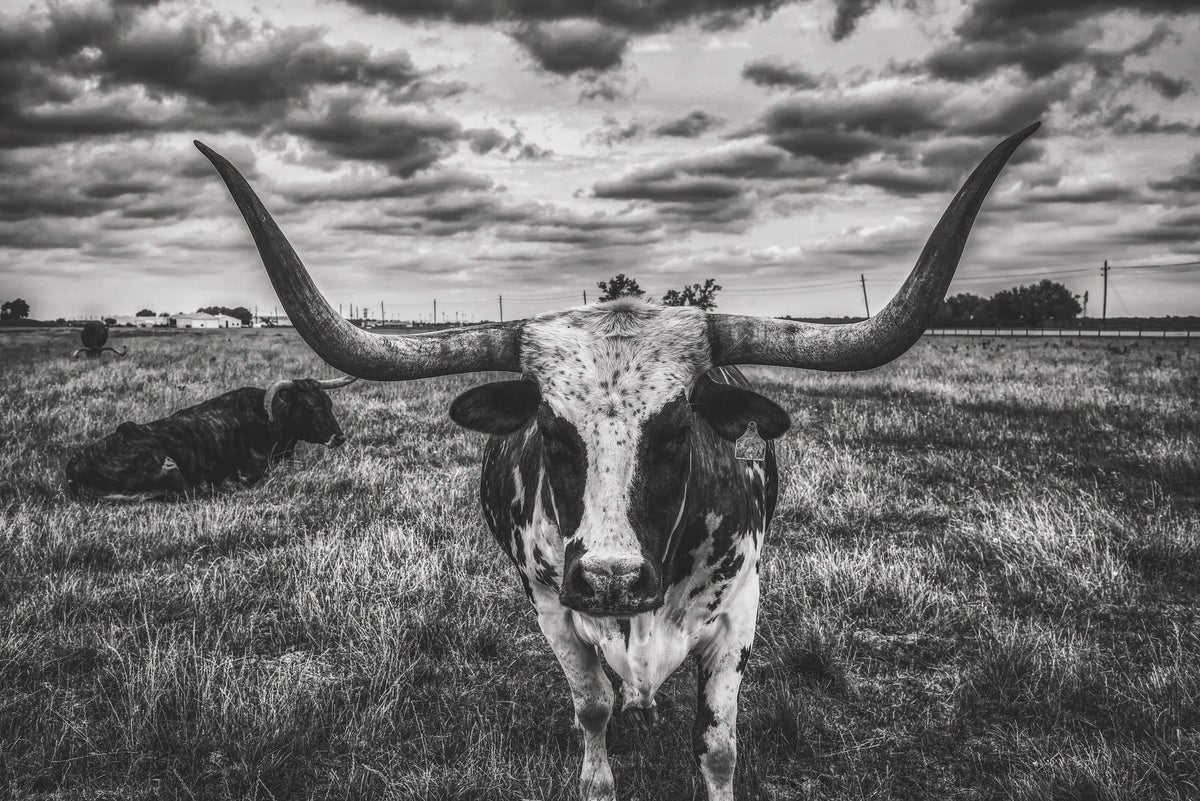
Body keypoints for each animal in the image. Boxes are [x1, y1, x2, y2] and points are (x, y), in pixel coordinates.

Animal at [65, 376, 356, 501]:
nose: (339, 437)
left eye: (327, 402)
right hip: (170, 468)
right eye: (307, 406)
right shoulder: (251, 471)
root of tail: (75, 463)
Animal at [195, 121, 1038, 800]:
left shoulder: (741, 609)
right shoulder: (549, 602)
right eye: (552, 432)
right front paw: (598, 773)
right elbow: (591, 705)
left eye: (676, 431)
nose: (610, 577)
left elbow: (719, 745)